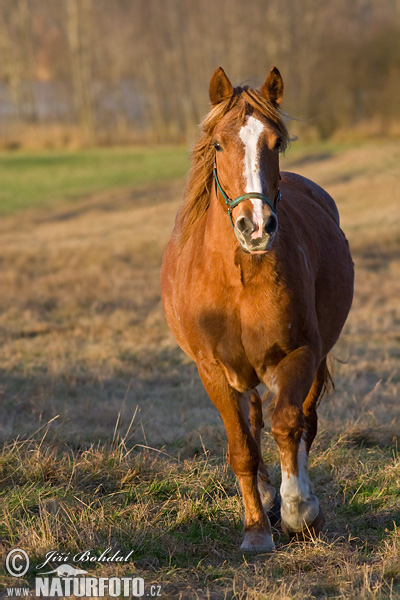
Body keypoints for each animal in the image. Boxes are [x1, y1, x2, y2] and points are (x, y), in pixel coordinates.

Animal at [159, 68, 354, 552]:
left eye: (276, 142)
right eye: (218, 144)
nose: (257, 226)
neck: (237, 280)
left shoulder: (300, 353)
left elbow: (288, 424)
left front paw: (298, 511)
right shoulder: (212, 369)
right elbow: (242, 446)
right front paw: (255, 529)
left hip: (315, 359)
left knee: (303, 421)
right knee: (253, 418)